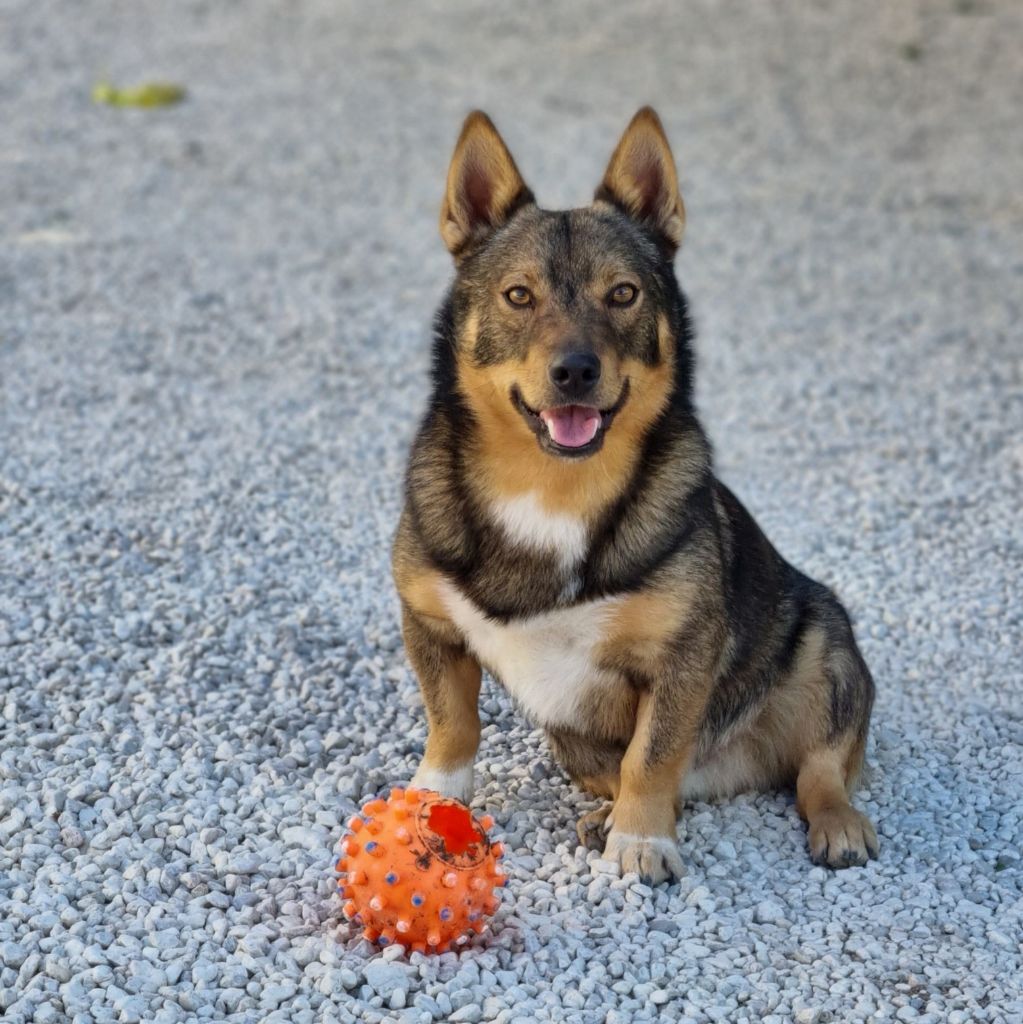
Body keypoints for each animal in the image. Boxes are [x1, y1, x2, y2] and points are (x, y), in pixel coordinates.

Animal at [391, 108, 880, 884]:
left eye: (622, 294)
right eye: (518, 295)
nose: (575, 371)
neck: (552, 488)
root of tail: (726, 773)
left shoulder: (683, 656)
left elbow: (652, 756)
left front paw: (642, 838)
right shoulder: (428, 624)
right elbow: (452, 725)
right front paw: (432, 803)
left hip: (825, 644)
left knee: (818, 767)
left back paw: (834, 821)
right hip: (573, 741)